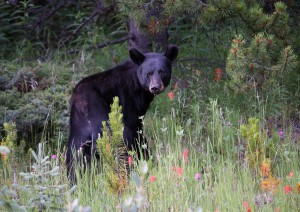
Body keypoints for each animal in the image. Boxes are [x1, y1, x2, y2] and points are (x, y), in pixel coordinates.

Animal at [66, 45, 178, 182]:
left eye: (162, 72)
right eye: (149, 73)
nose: (155, 87)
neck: (138, 86)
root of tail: (83, 102)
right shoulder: (130, 104)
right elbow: (137, 132)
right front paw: (146, 158)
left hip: (78, 126)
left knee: (74, 153)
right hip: (102, 117)